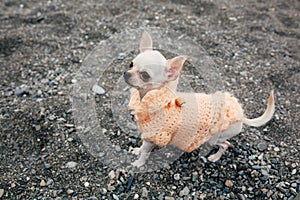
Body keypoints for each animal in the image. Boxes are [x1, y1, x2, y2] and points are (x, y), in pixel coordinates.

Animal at [122, 31, 274, 167]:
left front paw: (138, 164)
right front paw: (137, 150)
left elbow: (145, 152)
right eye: (131, 64)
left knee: (226, 144)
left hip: (214, 138)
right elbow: (142, 147)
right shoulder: (147, 135)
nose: (126, 73)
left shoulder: (153, 137)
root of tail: (240, 113)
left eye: (145, 75)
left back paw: (214, 157)